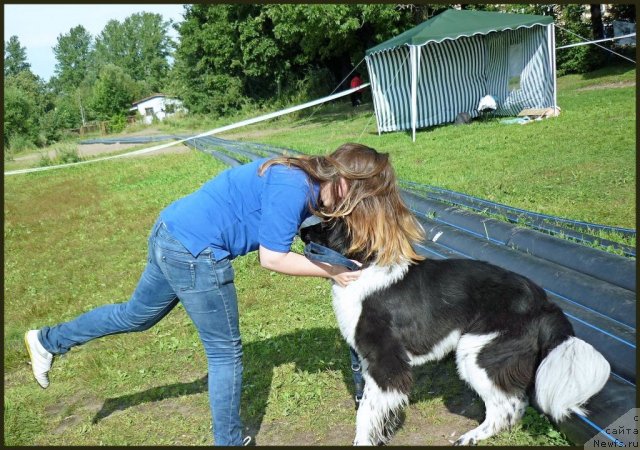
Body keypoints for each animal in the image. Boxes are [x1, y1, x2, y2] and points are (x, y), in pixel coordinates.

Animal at [300, 220, 608, 444]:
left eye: (326, 224)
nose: (301, 230)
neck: (363, 268)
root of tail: (544, 301)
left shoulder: (386, 362)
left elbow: (366, 412)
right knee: (515, 403)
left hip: (477, 351)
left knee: (507, 404)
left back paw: (470, 437)